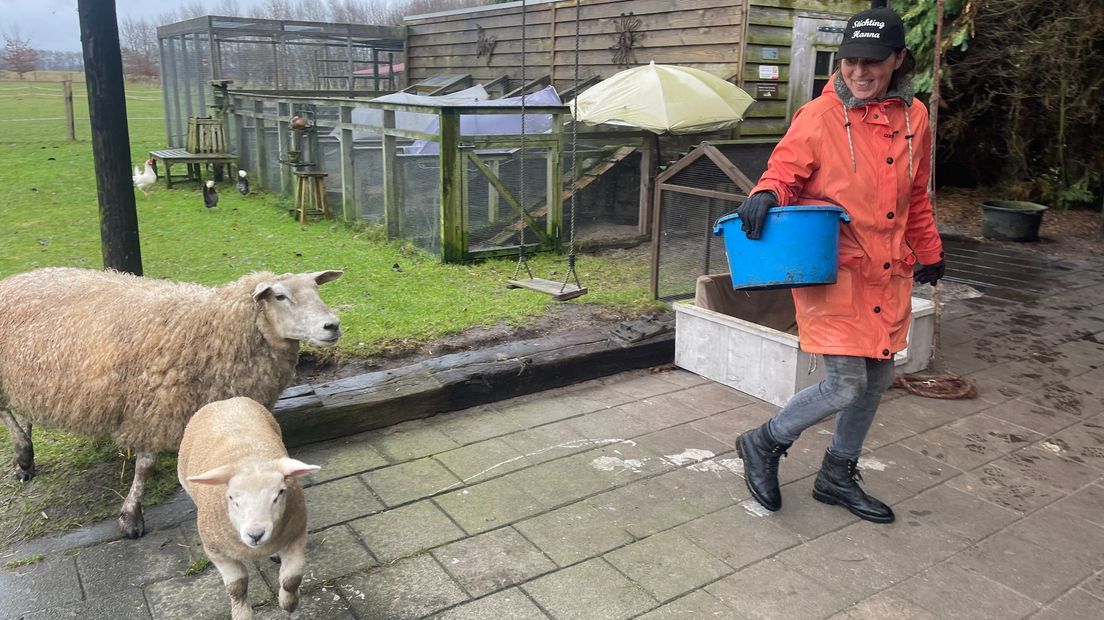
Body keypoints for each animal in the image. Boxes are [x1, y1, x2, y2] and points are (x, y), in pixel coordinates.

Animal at [0, 265, 342, 536]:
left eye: (316, 289)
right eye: (280, 296)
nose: (333, 325)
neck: (212, 329)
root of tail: (16, 278)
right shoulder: (153, 410)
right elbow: (145, 467)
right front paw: (131, 517)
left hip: (29, 377)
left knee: (25, 410)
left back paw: (26, 457)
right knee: (6, 411)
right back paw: (24, 455)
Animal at [176, 394, 315, 617]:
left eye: (280, 493)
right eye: (231, 498)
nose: (255, 534)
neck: (247, 458)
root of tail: (226, 401)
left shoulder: (297, 536)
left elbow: (291, 579)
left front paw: (289, 603)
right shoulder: (216, 552)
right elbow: (237, 586)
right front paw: (242, 613)